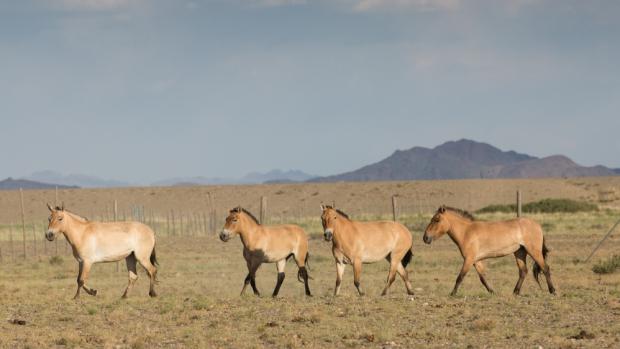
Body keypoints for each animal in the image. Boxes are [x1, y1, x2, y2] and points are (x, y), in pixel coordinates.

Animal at [424, 205, 556, 294]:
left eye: (436, 219)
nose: (425, 238)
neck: (467, 232)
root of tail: (537, 225)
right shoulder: (476, 261)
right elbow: (482, 277)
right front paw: (492, 291)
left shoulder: (468, 259)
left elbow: (460, 277)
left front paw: (452, 294)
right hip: (519, 252)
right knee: (523, 271)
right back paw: (515, 292)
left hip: (533, 251)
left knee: (545, 268)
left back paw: (552, 290)